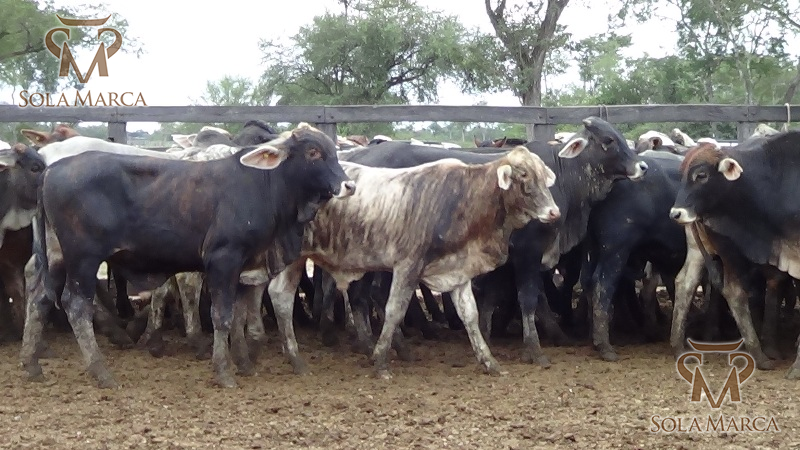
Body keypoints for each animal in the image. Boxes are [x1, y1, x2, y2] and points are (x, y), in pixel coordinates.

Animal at [20, 123, 356, 389]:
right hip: (84, 258)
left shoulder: (246, 266)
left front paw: (244, 364)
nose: (348, 185)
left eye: (333, 151)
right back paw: (101, 372)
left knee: (39, 297)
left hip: (55, 255)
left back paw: (32, 364)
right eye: (313, 152)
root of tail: (52, 168)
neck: (264, 186)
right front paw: (224, 371)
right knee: (76, 305)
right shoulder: (223, 259)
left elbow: (239, 316)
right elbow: (222, 316)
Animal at [264, 146, 560, 379]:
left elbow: (470, 315)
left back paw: (296, 360)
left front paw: (490, 362)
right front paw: (381, 362)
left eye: (543, 178)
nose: (554, 212)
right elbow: (395, 310)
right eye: (524, 177)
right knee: (282, 297)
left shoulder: (457, 270)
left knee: (281, 296)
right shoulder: (408, 265)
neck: (461, 198)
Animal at [667, 135, 800, 373]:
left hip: (698, 249)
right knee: (735, 291)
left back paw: (679, 348)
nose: (676, 213)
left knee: (685, 282)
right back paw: (760, 354)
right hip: (730, 251)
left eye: (701, 175)